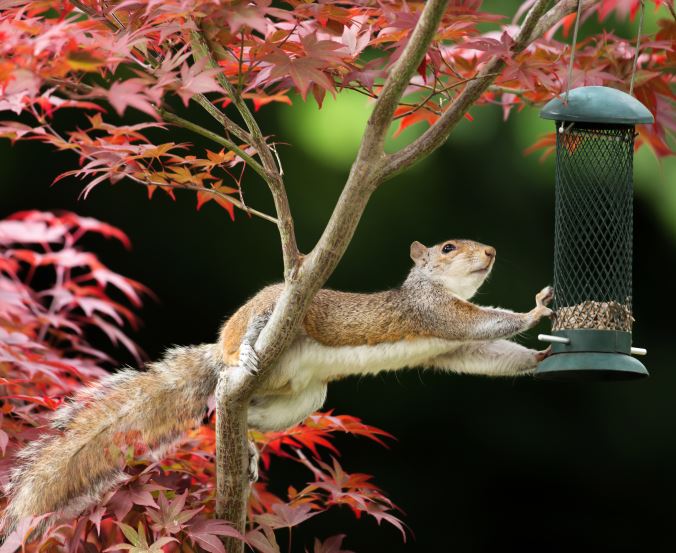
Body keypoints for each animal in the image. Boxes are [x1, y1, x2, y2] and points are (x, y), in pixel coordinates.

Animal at [1, 238, 553, 538]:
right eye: (447, 248)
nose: (491, 251)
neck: (437, 286)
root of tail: (219, 355)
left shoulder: (449, 347)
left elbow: (485, 355)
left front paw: (541, 357)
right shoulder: (435, 313)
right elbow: (483, 323)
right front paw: (535, 312)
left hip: (305, 398)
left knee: (241, 416)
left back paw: (246, 445)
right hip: (268, 312)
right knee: (238, 355)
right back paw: (241, 357)